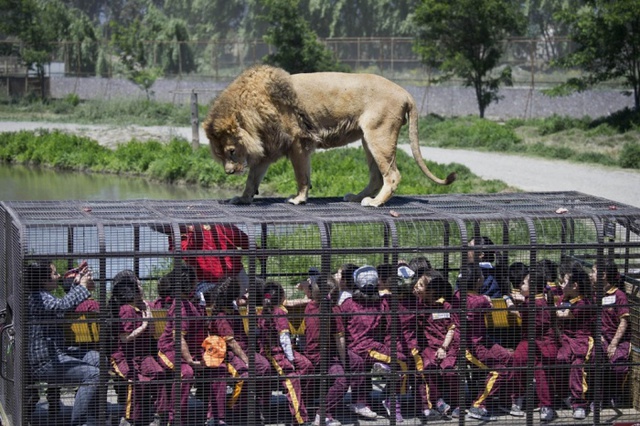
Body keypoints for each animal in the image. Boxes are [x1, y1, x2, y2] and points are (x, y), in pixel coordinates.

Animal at [204, 63, 456, 208]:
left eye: (231, 151)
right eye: (220, 155)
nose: (228, 172)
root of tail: (405, 92)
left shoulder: (299, 143)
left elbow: (301, 176)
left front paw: (298, 199)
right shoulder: (268, 149)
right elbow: (252, 178)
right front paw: (242, 198)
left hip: (379, 135)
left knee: (392, 175)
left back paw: (374, 203)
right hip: (368, 140)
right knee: (376, 176)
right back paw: (356, 197)